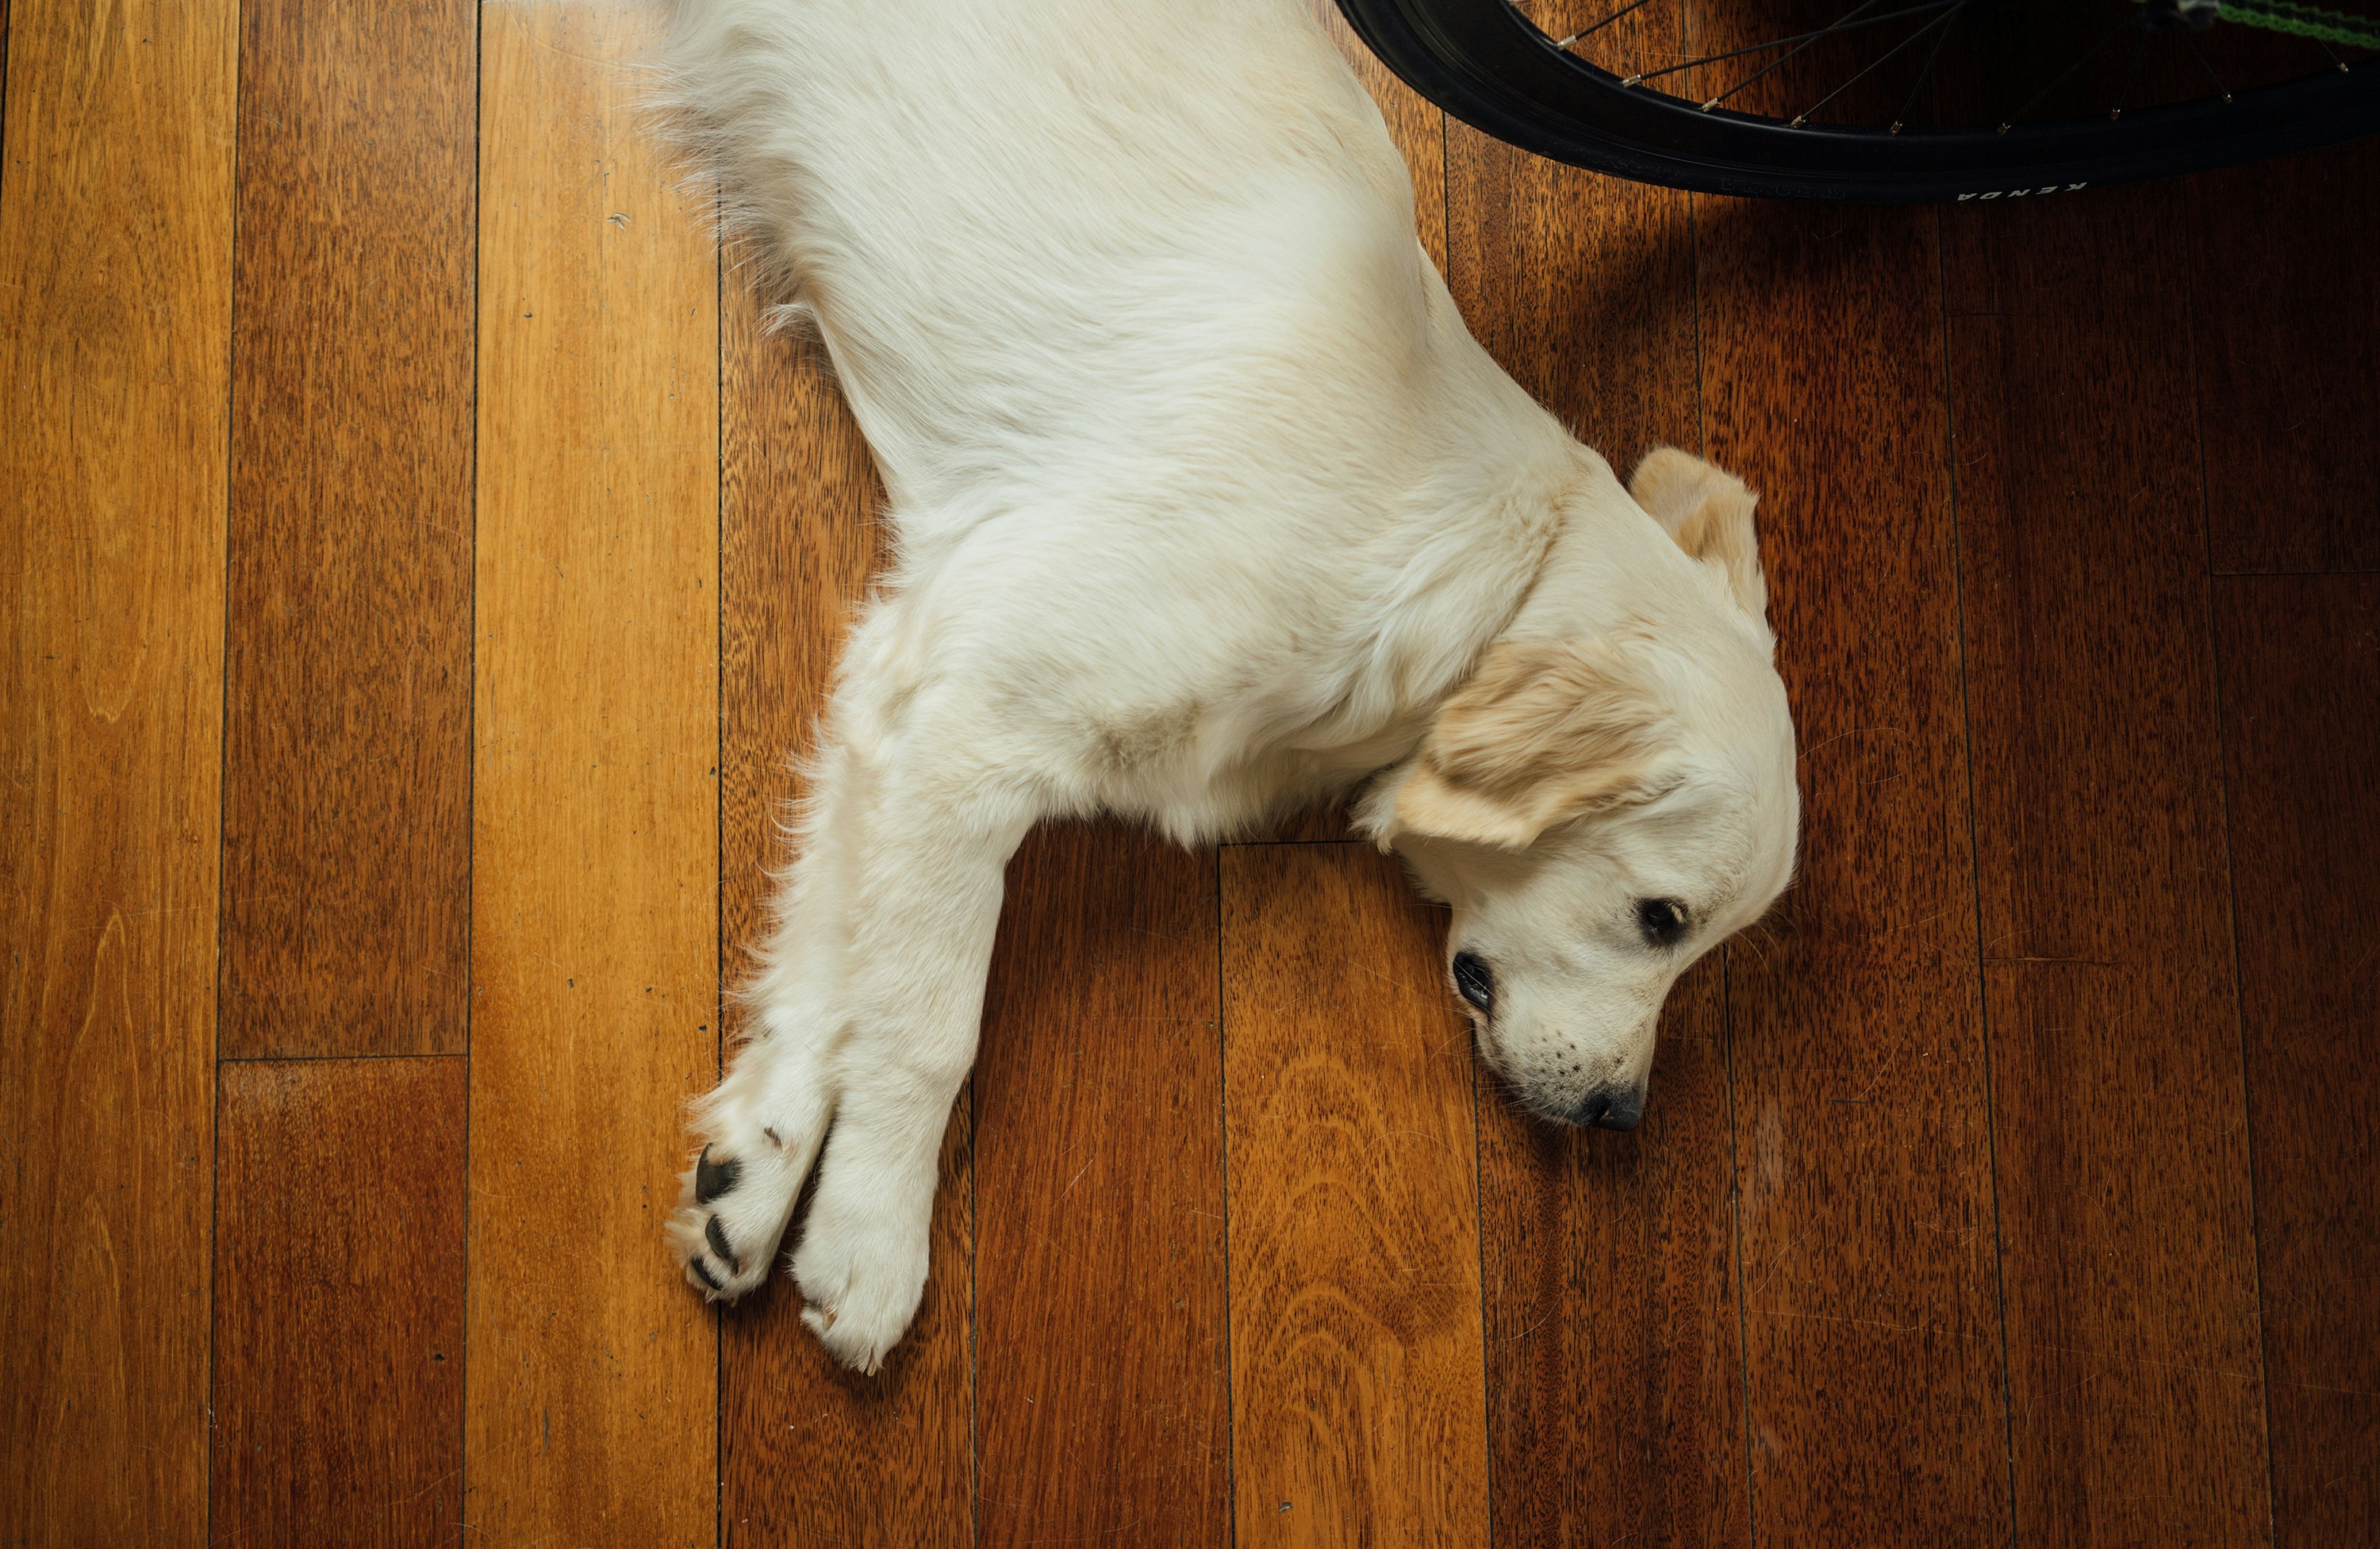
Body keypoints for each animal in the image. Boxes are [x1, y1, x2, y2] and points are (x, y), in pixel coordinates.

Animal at [652, 0, 1790, 1380]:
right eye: (1661, 919)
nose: (1619, 1116)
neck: (1473, 572)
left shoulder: (902, 688)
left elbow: (834, 977)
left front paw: (753, 1179)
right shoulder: (979, 722)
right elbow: (927, 1020)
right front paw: (871, 1244)